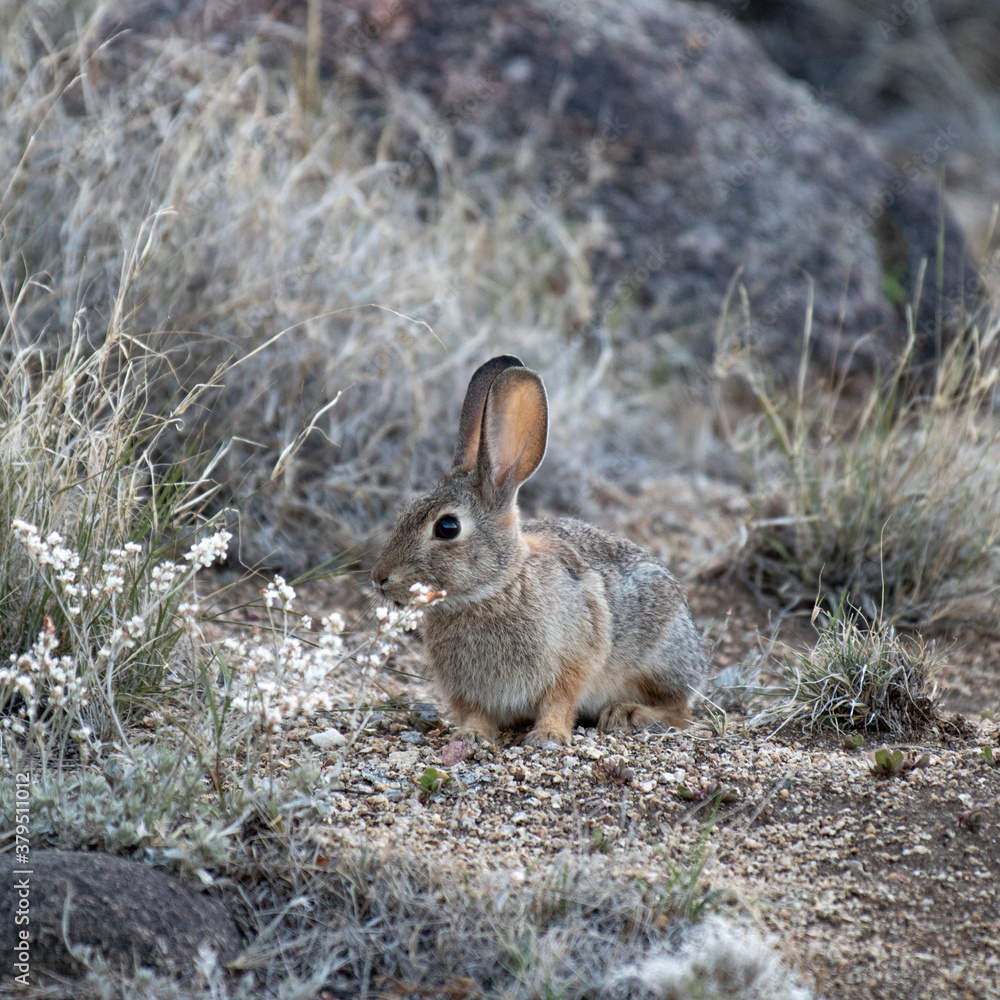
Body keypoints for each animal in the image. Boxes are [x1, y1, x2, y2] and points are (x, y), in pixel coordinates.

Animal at [371, 355, 708, 746]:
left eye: (447, 527)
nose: (379, 578)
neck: (494, 588)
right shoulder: (473, 691)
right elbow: (479, 713)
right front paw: (470, 735)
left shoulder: (571, 662)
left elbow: (559, 701)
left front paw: (548, 736)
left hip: (659, 660)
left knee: (681, 711)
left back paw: (627, 714)